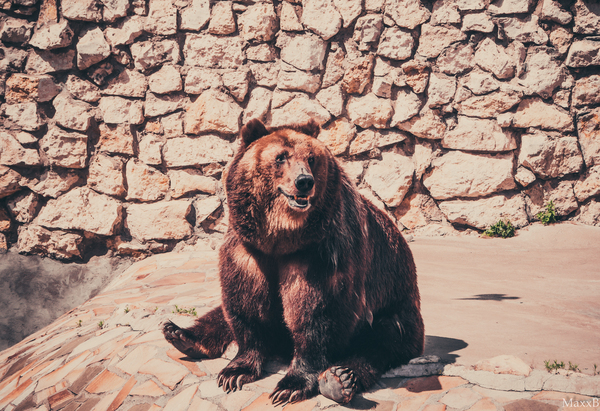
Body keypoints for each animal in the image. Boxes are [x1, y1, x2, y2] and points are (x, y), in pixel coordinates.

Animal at [162, 119, 424, 406]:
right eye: (280, 157)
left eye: (311, 158)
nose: (304, 182)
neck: (281, 236)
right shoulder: (248, 250)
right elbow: (245, 303)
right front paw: (235, 371)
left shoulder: (319, 252)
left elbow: (315, 314)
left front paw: (290, 385)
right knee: (219, 313)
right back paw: (179, 334)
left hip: (393, 305)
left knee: (382, 341)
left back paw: (339, 378)